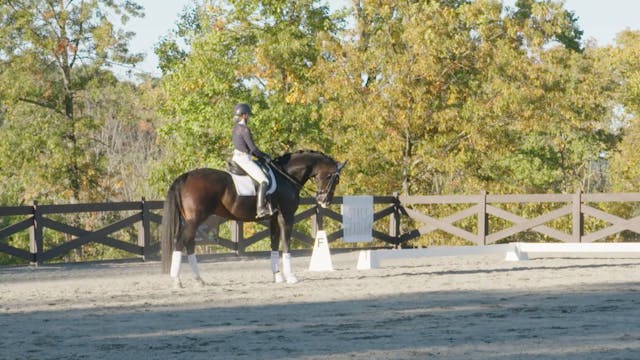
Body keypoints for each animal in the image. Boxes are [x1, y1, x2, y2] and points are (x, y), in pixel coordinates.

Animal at [160, 149, 344, 286]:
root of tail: (186, 176)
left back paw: (199, 279)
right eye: (332, 178)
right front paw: (291, 276)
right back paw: (177, 280)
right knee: (180, 242)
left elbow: (274, 244)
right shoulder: (286, 217)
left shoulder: (274, 219)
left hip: (193, 220)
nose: (325, 201)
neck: (286, 177)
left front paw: (277, 275)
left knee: (189, 243)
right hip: (195, 219)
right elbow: (286, 244)